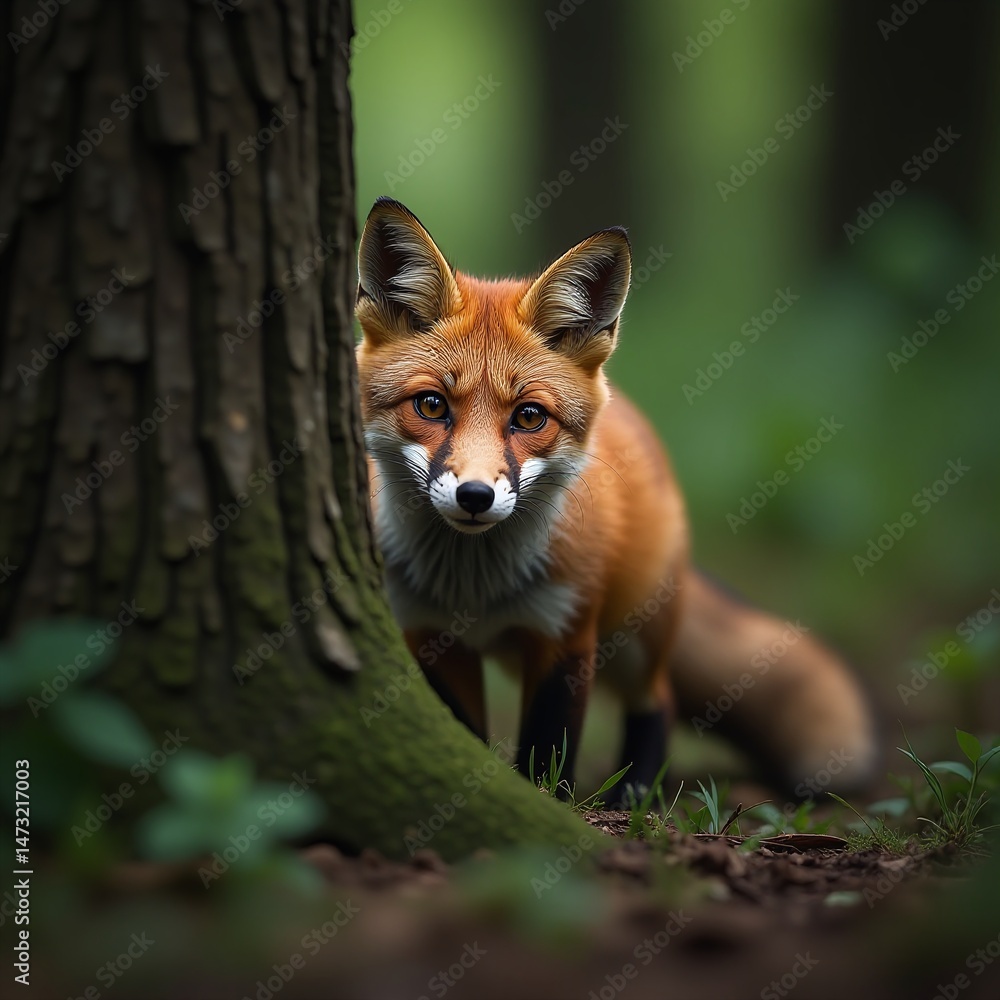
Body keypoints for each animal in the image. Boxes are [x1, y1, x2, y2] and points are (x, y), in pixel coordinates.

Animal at [354, 196, 879, 802]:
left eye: (529, 416)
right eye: (432, 406)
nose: (476, 496)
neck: (476, 588)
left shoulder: (565, 635)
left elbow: (546, 754)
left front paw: (550, 808)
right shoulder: (431, 635)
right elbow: (466, 736)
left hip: (635, 639)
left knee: (659, 702)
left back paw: (635, 794)